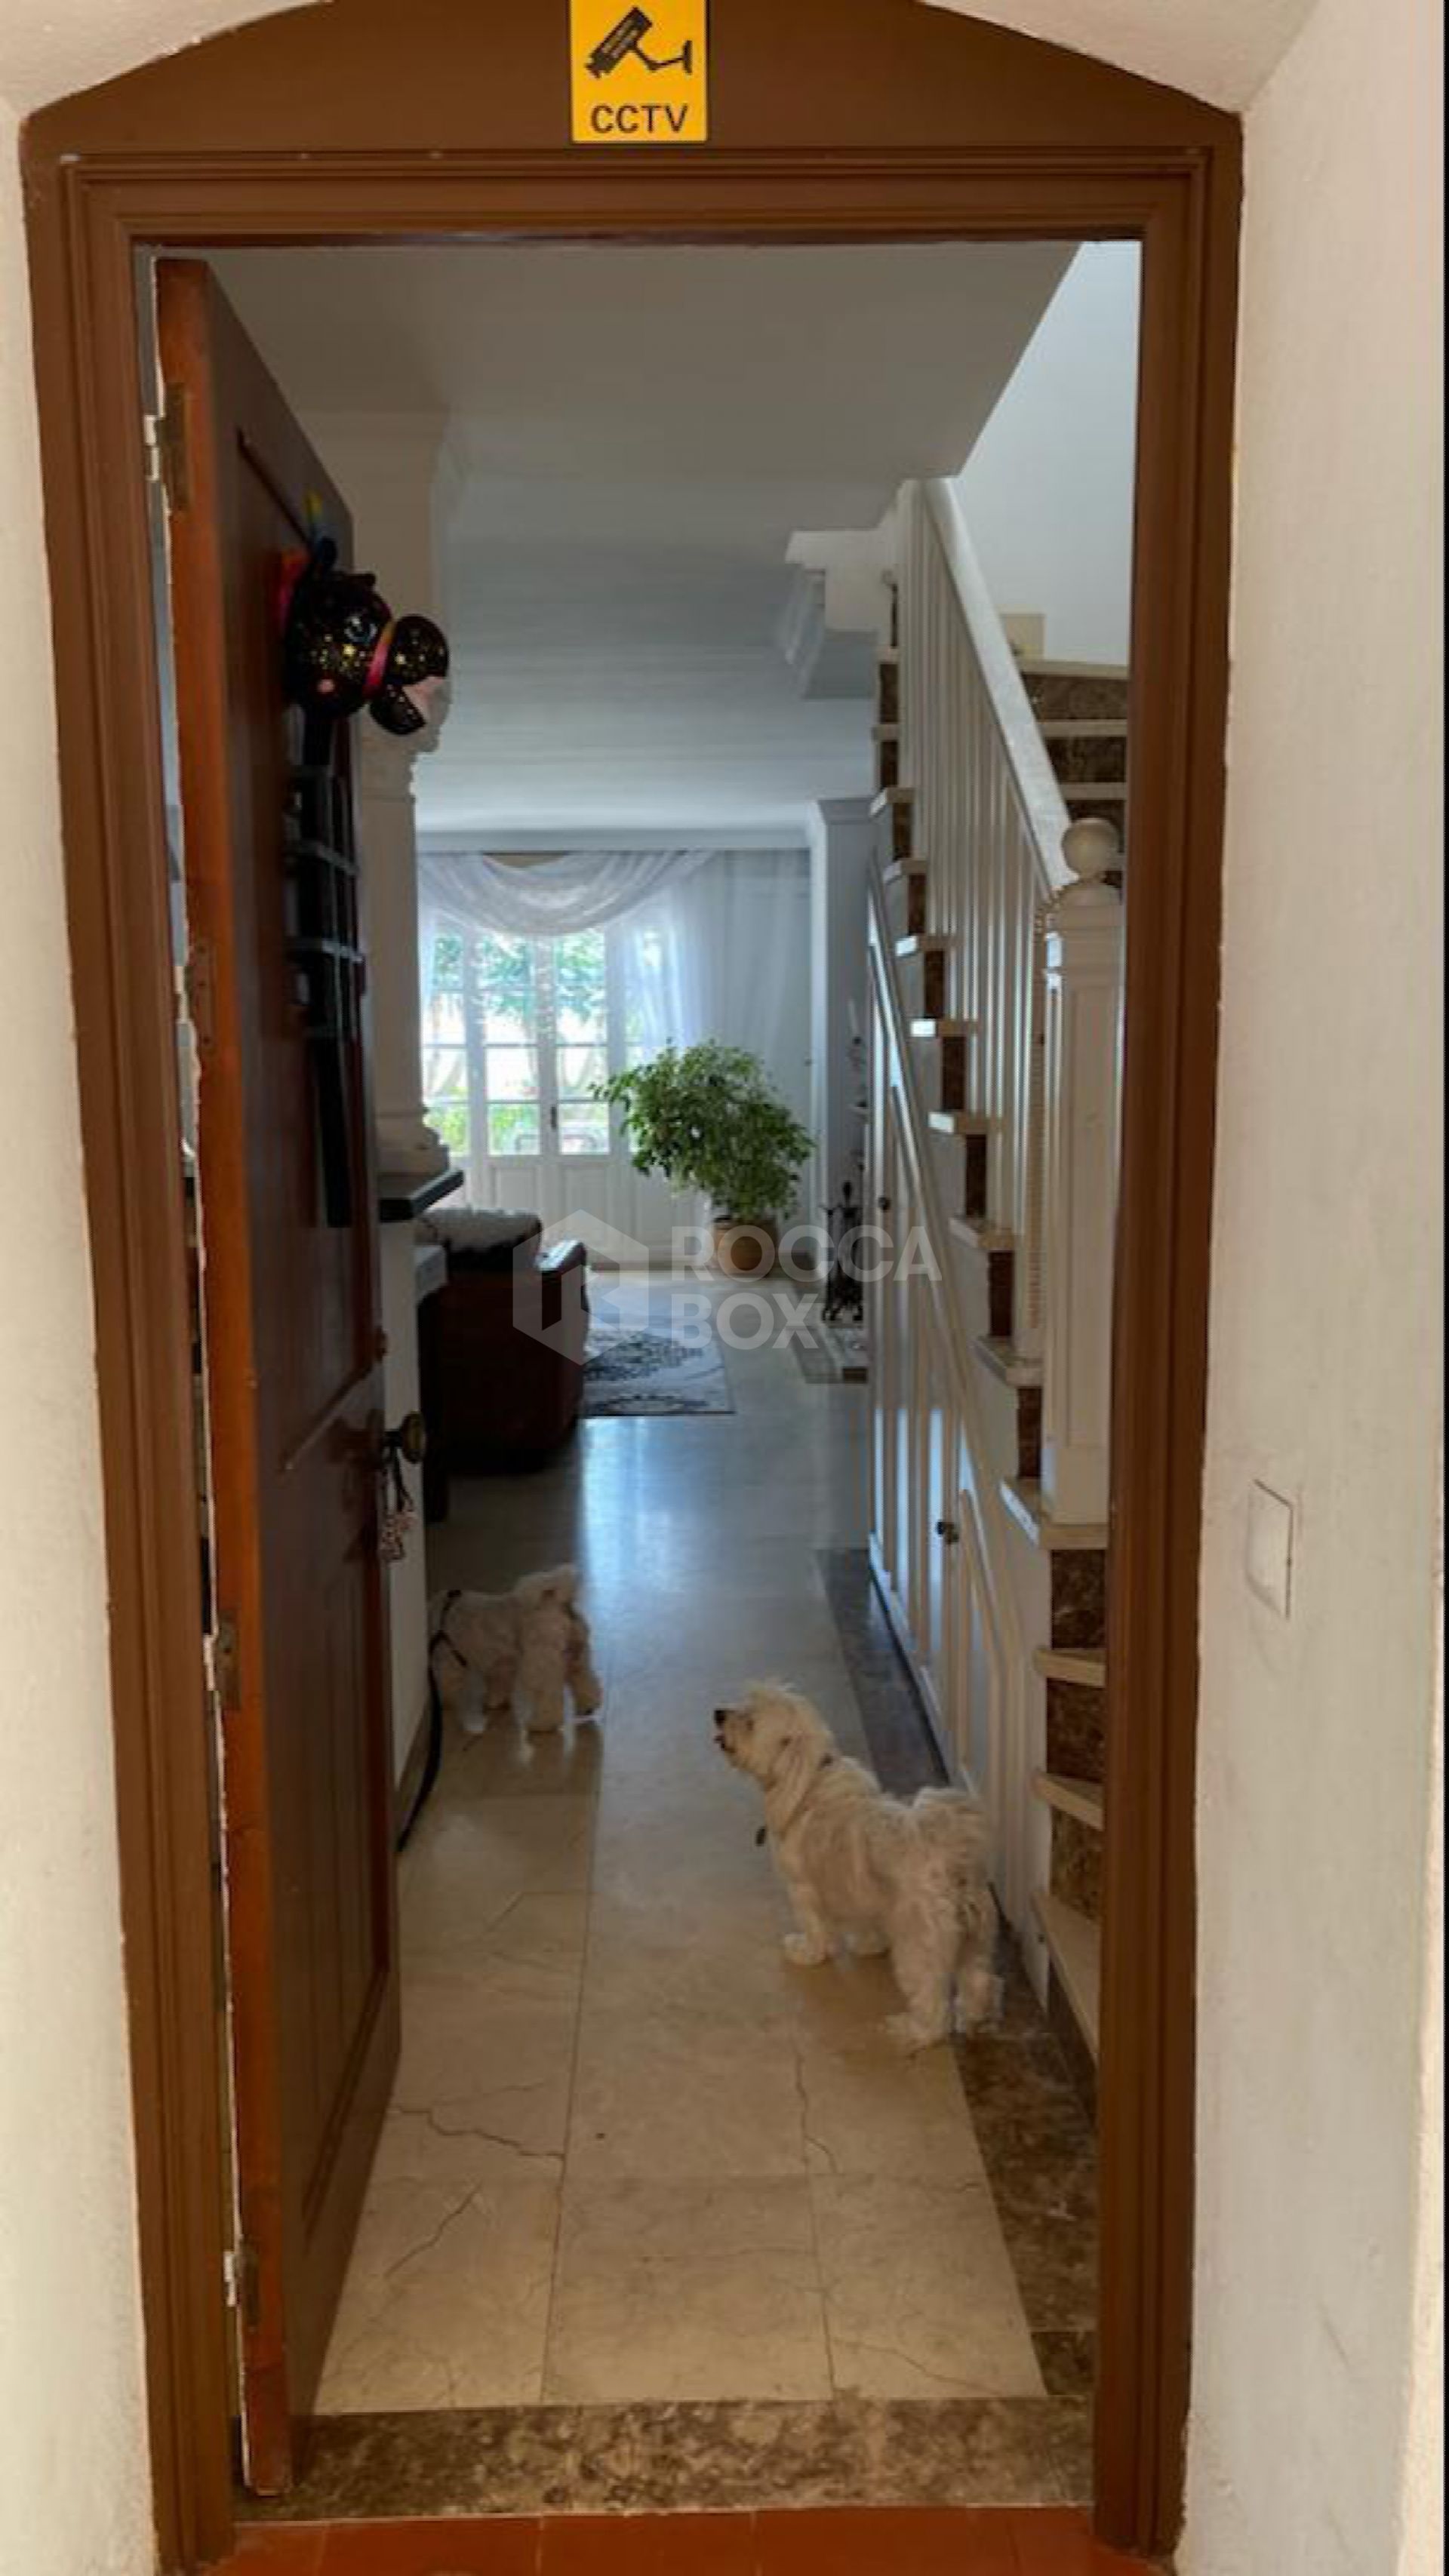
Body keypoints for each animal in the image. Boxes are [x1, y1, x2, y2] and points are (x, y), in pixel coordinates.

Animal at [425, 1556, 601, 1741]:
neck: (445, 1610)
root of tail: (559, 1604)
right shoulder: (500, 1663)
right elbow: (499, 1684)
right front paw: (496, 1701)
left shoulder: (450, 1658)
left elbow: (445, 1680)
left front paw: (442, 1700)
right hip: (578, 1658)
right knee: (586, 1682)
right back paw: (588, 1706)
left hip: (540, 1665)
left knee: (549, 1699)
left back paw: (540, 1724)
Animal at [706, 1689, 989, 2050]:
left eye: (750, 1721)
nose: (718, 1713)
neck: (810, 1780)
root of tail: (951, 1856)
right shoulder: (858, 1891)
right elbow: (864, 1923)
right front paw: (868, 1946)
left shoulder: (802, 1888)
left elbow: (814, 1928)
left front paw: (807, 1952)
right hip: (977, 1939)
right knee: (979, 1979)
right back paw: (975, 2018)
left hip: (919, 1947)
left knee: (932, 2004)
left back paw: (912, 2031)